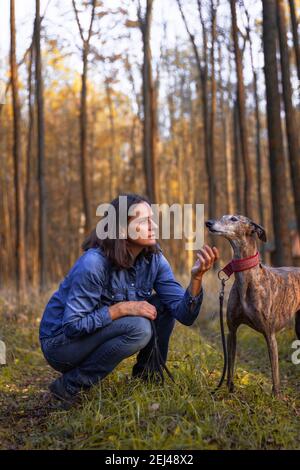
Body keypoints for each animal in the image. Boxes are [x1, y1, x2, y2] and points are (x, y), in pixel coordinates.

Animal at [206, 215, 300, 394]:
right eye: (222, 217)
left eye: (234, 218)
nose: (208, 223)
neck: (247, 279)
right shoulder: (232, 331)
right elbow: (230, 366)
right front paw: (229, 391)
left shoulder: (270, 335)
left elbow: (275, 374)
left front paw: (276, 397)